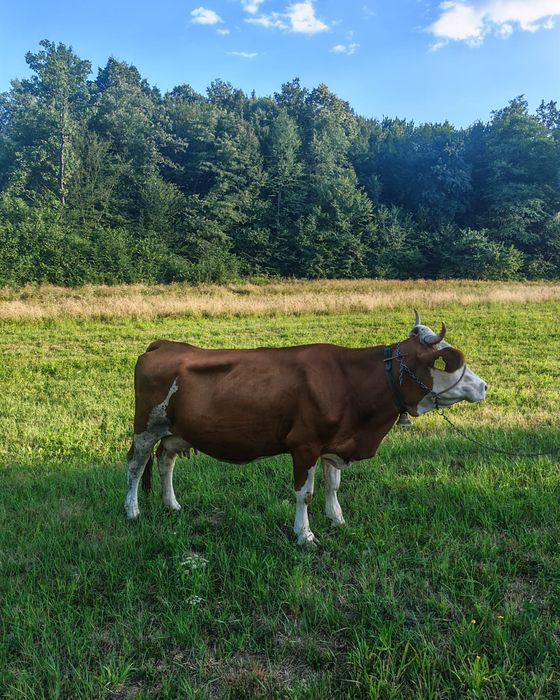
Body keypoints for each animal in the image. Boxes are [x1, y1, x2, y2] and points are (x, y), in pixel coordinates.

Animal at [124, 312, 487, 545]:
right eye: (449, 361)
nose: (483, 386)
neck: (350, 383)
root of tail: (164, 344)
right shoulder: (304, 445)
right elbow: (306, 493)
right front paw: (305, 534)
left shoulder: (334, 443)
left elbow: (333, 485)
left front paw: (337, 519)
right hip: (146, 425)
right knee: (135, 464)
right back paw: (132, 511)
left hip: (174, 430)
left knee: (165, 461)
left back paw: (171, 504)